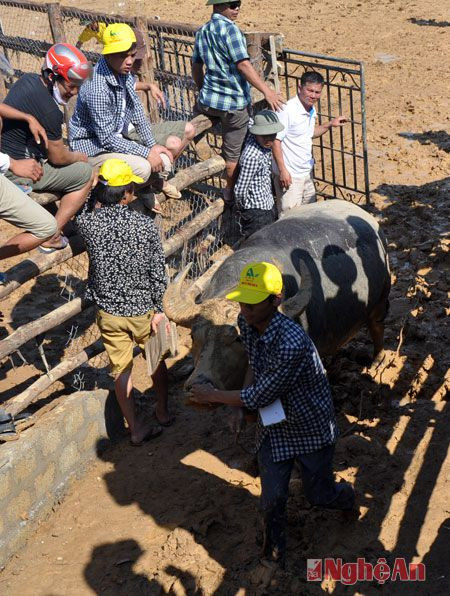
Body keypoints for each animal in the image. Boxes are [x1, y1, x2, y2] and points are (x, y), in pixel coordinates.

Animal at [163, 201, 390, 392]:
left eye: (238, 339)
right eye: (194, 336)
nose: (199, 383)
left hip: (380, 299)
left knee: (377, 325)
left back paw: (377, 361)